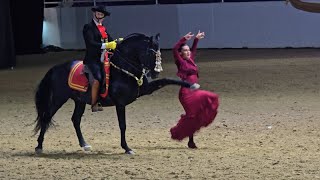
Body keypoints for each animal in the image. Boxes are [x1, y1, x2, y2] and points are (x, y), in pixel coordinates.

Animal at [33, 33, 196, 154]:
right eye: (150, 52)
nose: (156, 72)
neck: (123, 70)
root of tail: (56, 68)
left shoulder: (146, 90)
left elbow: (167, 80)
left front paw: (192, 85)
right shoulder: (120, 103)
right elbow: (122, 125)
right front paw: (127, 148)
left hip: (79, 100)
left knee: (75, 119)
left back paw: (84, 145)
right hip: (59, 98)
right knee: (47, 117)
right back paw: (39, 146)